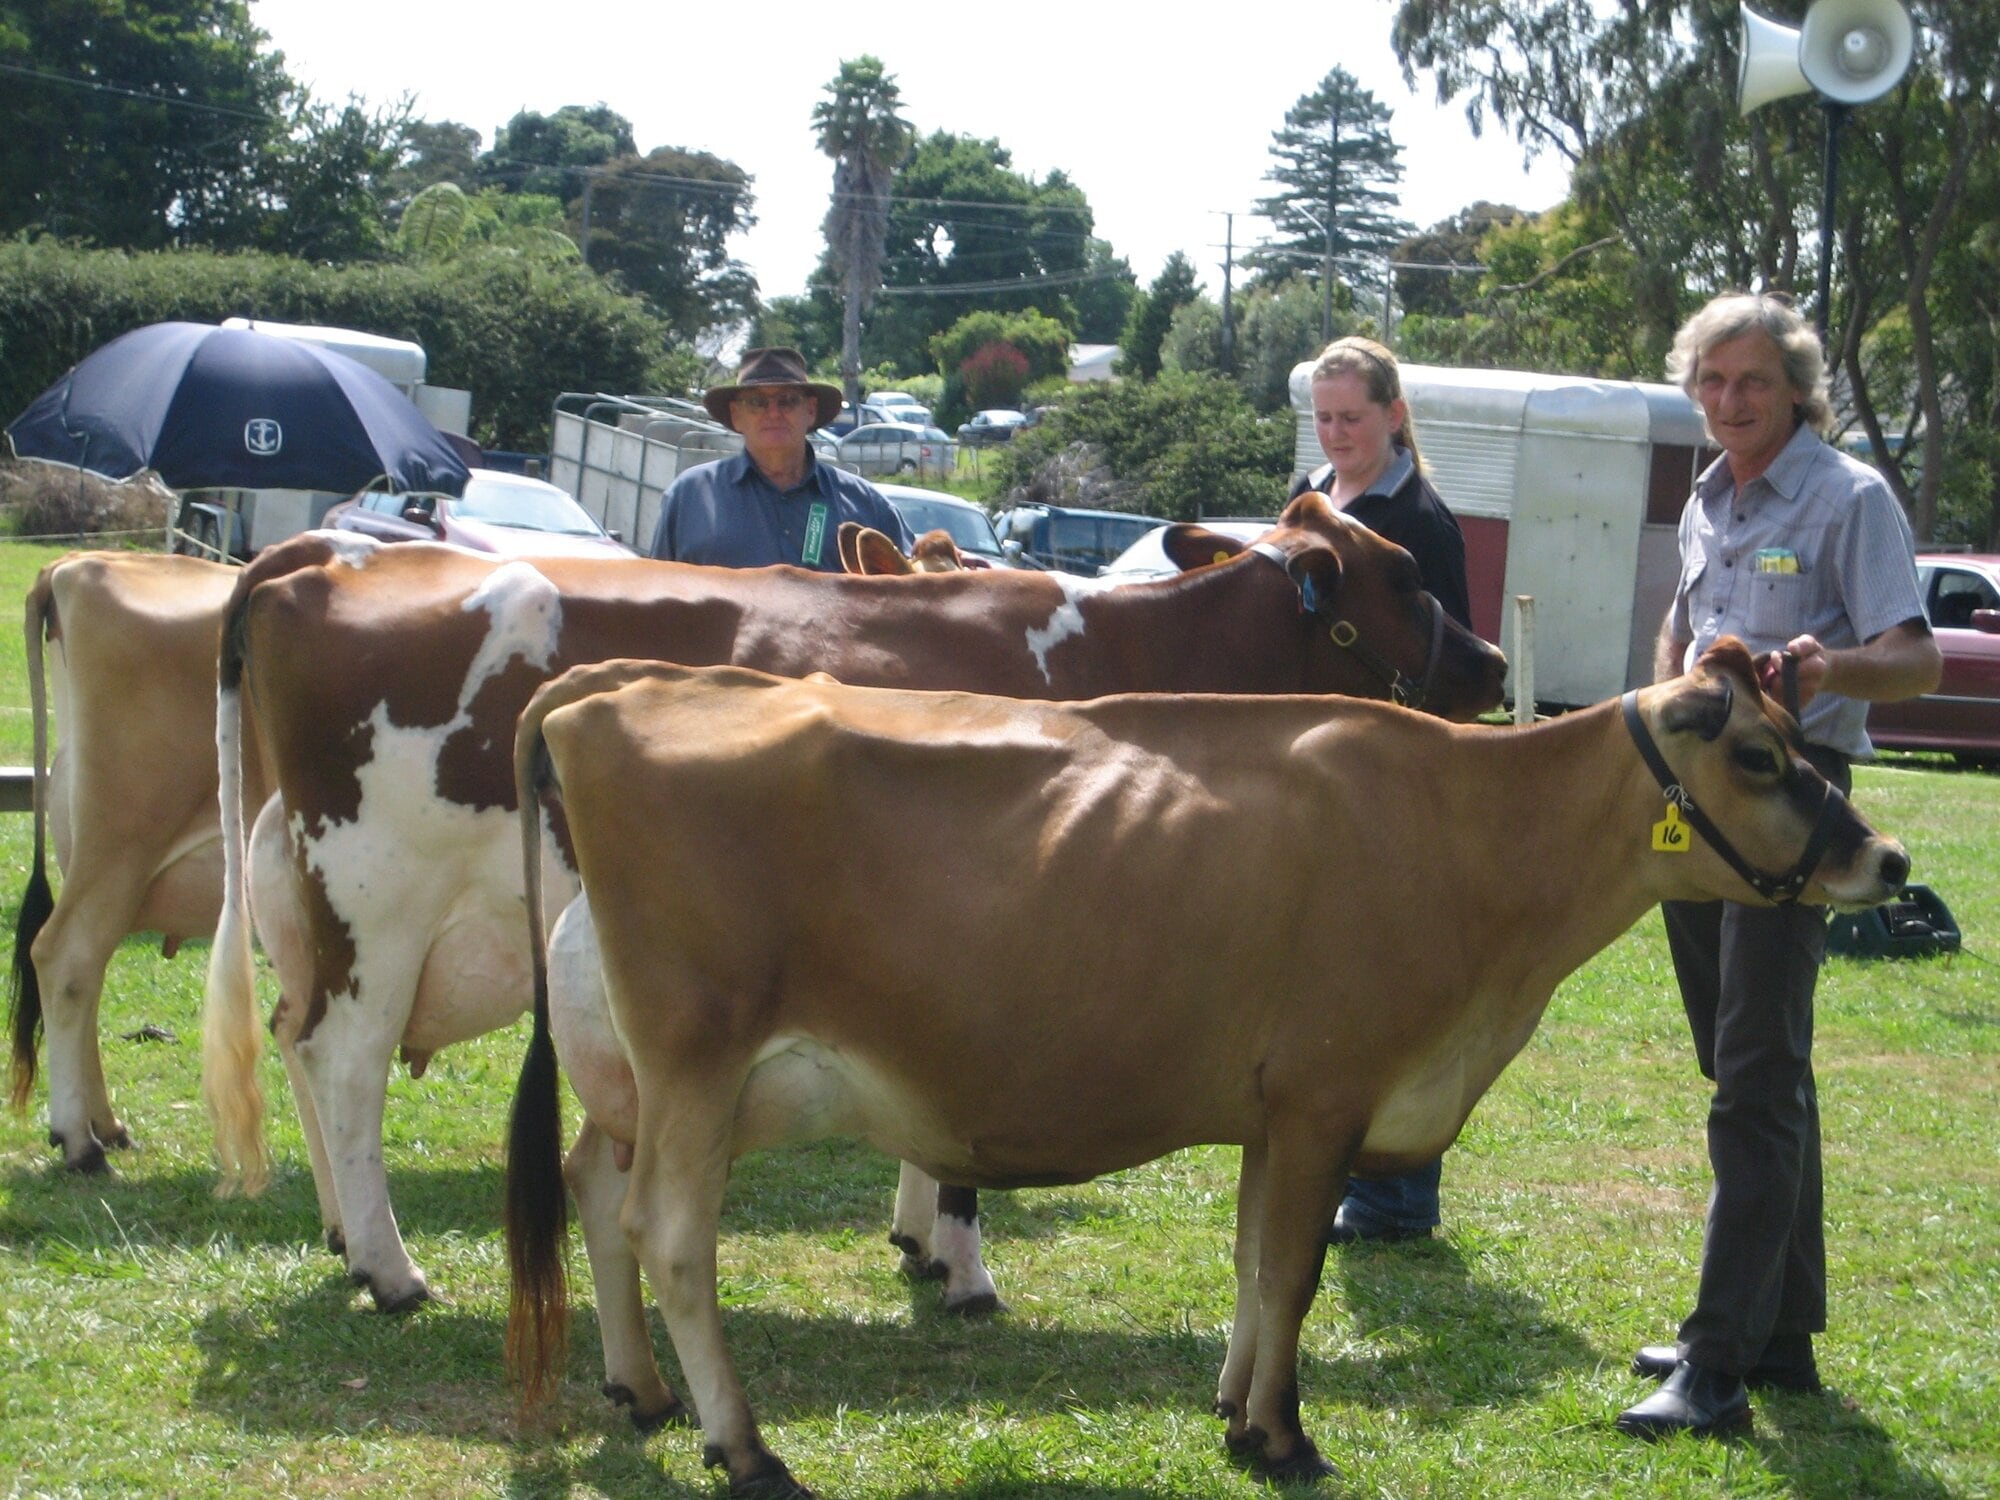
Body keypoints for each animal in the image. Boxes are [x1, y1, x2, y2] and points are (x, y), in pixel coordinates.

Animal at [8, 551, 268, 1172]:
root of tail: (75, 562)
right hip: (122, 839)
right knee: (66, 956)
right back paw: (81, 1143)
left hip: (95, 851)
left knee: (85, 969)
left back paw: (103, 1124)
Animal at [201, 494, 1507, 1313]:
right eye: (1404, 576)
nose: (1493, 665)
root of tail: (319, 553)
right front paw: (965, 1268)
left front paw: (920, 1239)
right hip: (378, 891)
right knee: (346, 1064)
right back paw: (389, 1269)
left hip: (312, 891)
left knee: (298, 1040)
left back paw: (342, 1235)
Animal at [503, 641, 1908, 1495]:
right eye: (1759, 758)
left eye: (1799, 738)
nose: (1884, 857)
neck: (1468, 837)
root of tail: (610, 690)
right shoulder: (1325, 1092)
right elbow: (1290, 1273)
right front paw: (1282, 1435)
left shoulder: (1270, 1110)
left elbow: (1247, 1266)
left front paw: (1235, 1412)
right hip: (698, 1050)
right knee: (670, 1233)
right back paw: (744, 1448)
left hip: (638, 1071)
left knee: (595, 1192)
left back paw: (639, 1393)